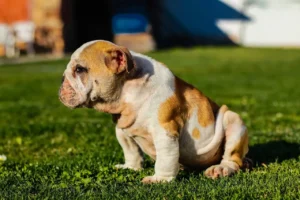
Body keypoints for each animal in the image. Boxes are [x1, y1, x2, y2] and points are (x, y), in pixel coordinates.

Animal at [58, 39, 248, 184]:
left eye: (79, 69)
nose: (61, 79)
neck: (128, 91)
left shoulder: (164, 131)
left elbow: (165, 157)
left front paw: (160, 179)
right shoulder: (122, 129)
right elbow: (131, 150)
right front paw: (131, 167)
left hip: (233, 121)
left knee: (233, 158)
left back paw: (220, 168)